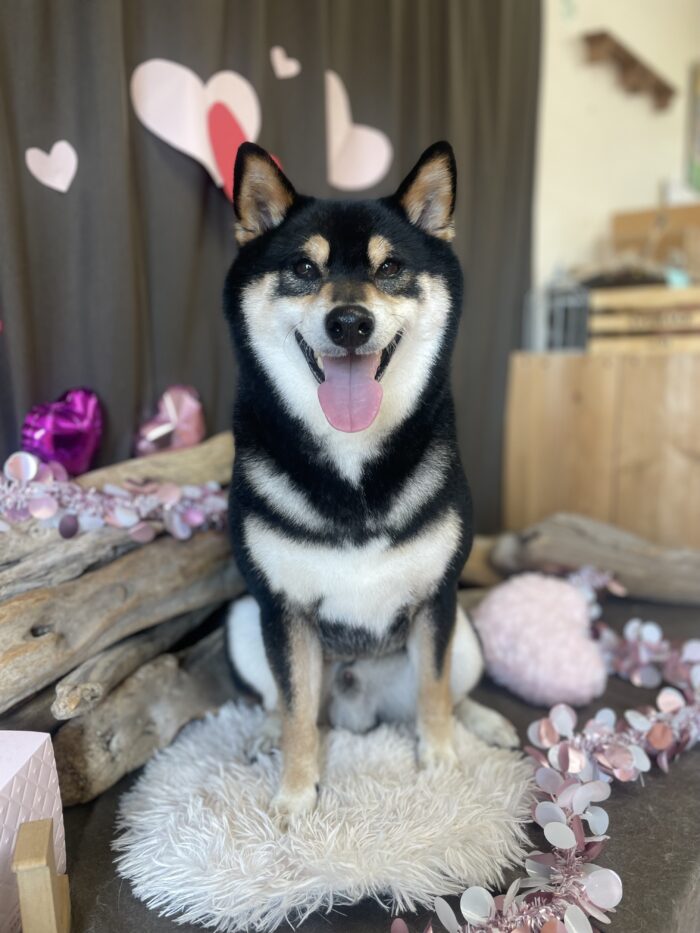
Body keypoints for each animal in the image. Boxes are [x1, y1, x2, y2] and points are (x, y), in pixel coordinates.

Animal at [223, 141, 516, 825]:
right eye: (304, 267)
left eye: (391, 269)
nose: (350, 322)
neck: (351, 461)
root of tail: (361, 710)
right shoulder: (281, 607)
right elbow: (297, 713)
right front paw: (295, 795)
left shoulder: (437, 599)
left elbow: (434, 694)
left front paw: (441, 767)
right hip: (244, 620)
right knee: (281, 702)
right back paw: (261, 735)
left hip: (467, 636)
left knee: (452, 691)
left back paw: (486, 723)